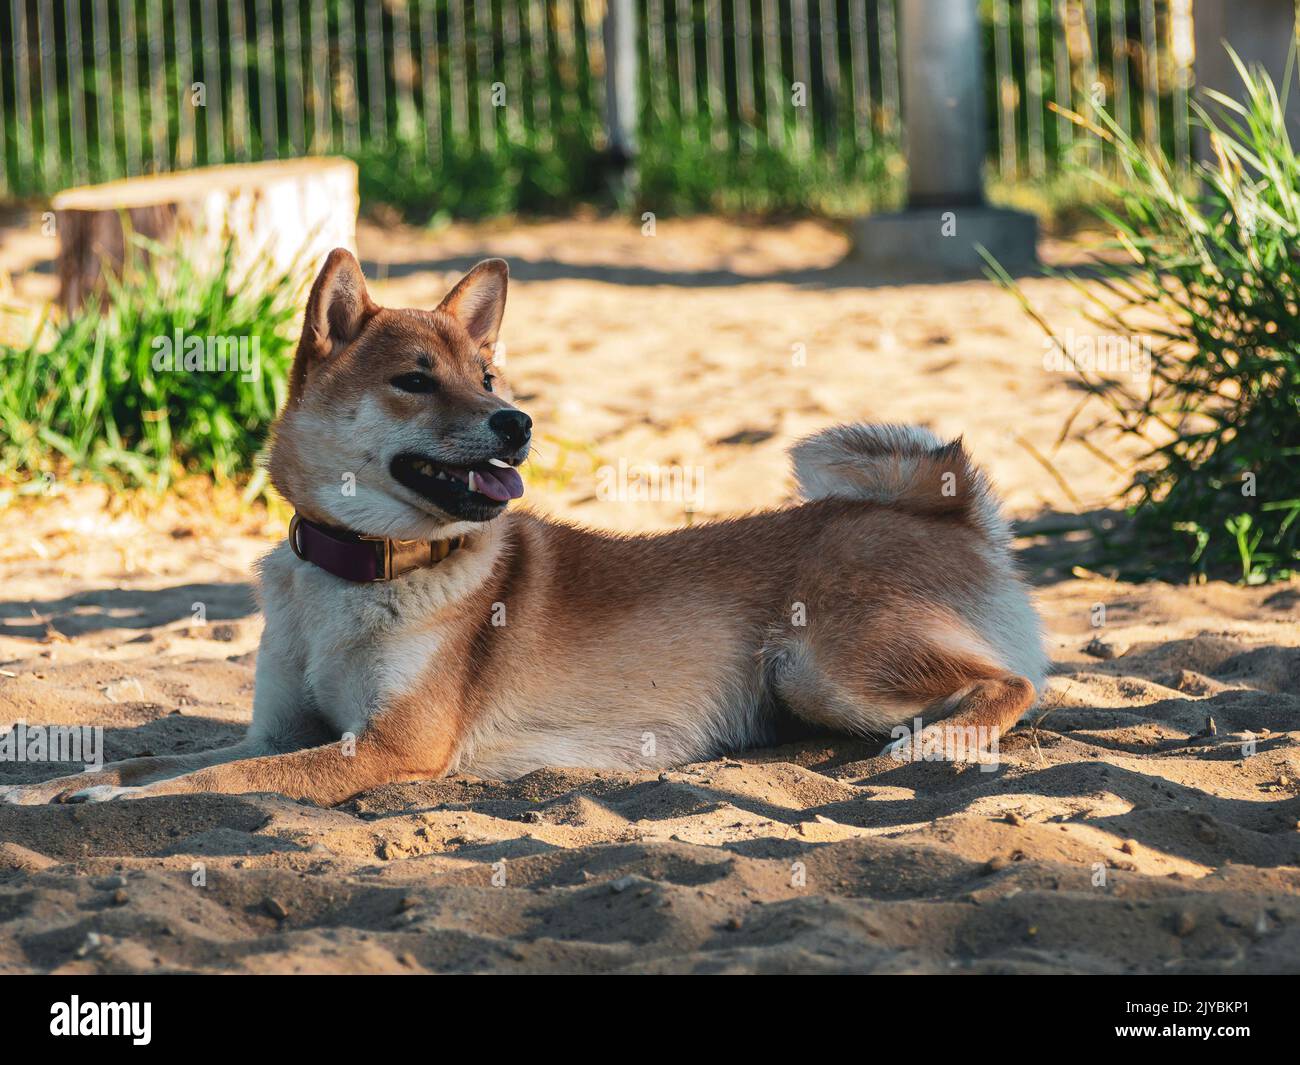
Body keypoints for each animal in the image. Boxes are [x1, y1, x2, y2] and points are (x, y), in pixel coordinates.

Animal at [2, 252, 1045, 806]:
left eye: (488, 377)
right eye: (415, 379)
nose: (517, 422)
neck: (360, 572)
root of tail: (949, 509)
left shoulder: (385, 749)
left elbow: (195, 784)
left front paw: (101, 798)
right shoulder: (274, 732)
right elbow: (160, 756)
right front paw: (54, 788)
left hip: (822, 662)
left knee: (1015, 682)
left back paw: (936, 743)